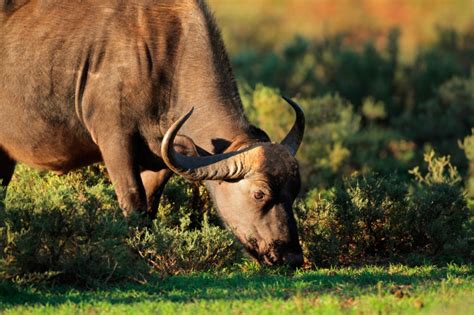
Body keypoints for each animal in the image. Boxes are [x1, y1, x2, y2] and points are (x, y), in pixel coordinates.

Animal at [0, 0, 304, 270]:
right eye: (259, 194)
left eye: (295, 190)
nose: (291, 258)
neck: (167, 59)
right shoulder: (115, 142)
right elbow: (132, 200)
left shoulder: (161, 162)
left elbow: (149, 206)